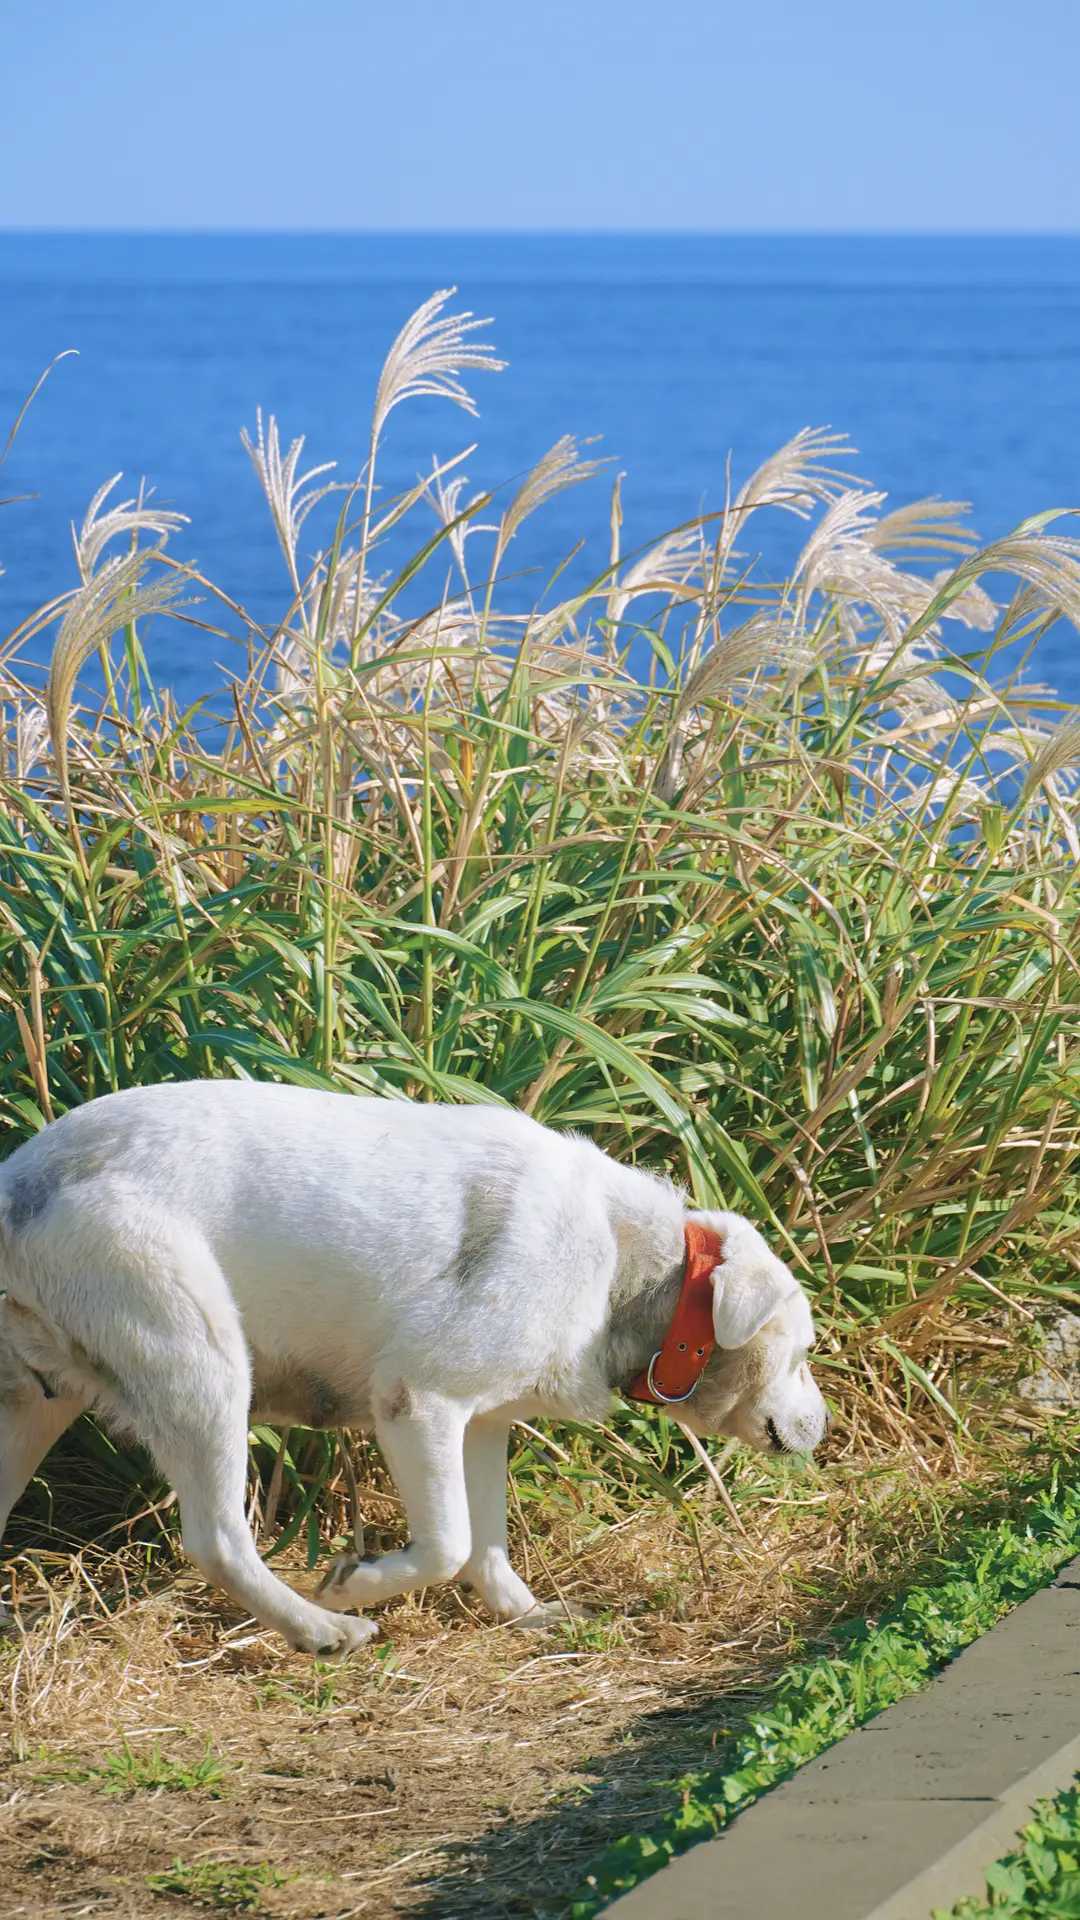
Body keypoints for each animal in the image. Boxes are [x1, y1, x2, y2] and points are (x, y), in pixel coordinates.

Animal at [0, 1082, 822, 1651]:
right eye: (806, 1354)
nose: (827, 1427)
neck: (641, 1272)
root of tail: (19, 1183)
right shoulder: (417, 1402)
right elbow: (450, 1542)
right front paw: (356, 1586)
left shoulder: (482, 1424)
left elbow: (487, 1542)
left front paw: (525, 1615)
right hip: (201, 1366)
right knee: (217, 1539)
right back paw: (320, 1628)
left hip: (31, 1410)